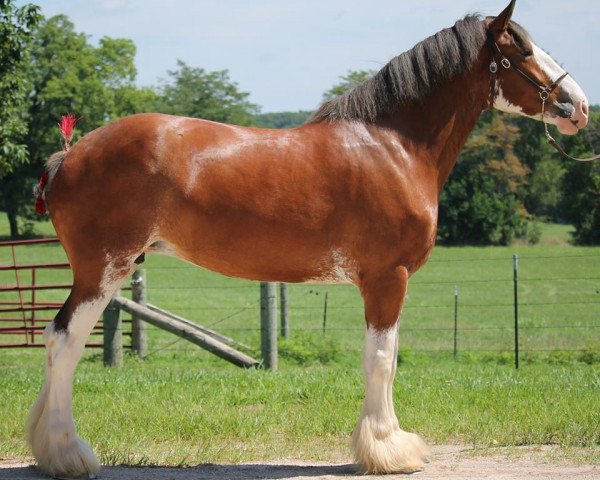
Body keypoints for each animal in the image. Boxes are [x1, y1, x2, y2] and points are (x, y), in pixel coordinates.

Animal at [29, 1, 592, 478]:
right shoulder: (387, 279)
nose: (580, 106)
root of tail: (70, 155)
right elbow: (381, 361)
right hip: (103, 271)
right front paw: (388, 450)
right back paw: (68, 453)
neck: (393, 145)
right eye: (522, 50)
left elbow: (385, 360)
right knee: (65, 342)